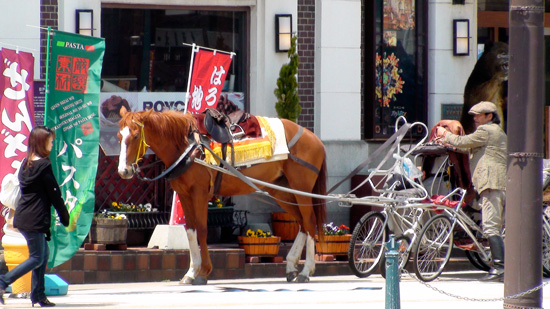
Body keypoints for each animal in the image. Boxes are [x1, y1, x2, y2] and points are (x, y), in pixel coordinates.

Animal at [117, 108, 328, 284]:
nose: (123, 171)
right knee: (302, 223)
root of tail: (314, 138)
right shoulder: (184, 195)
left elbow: (202, 230)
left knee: (309, 222)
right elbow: (190, 231)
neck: (188, 146)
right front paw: (191, 273)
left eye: (135, 136)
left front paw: (203, 272)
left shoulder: (200, 192)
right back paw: (292, 266)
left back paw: (306, 271)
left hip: (301, 188)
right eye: (119, 136)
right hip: (282, 191)